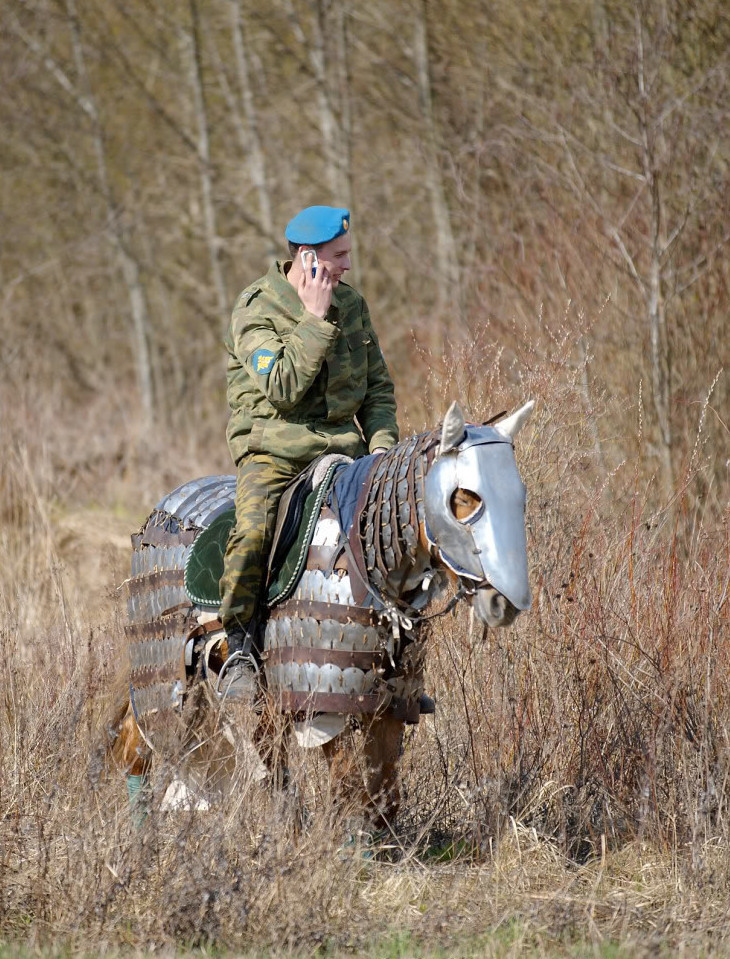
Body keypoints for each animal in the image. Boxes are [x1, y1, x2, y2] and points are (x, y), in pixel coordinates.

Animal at [108, 398, 532, 832]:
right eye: (464, 498)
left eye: (518, 496)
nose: (502, 603)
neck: (366, 557)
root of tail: (165, 507)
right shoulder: (325, 702)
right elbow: (349, 788)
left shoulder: (390, 703)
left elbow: (383, 795)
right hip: (163, 672)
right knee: (139, 747)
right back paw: (142, 830)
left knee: (267, 757)